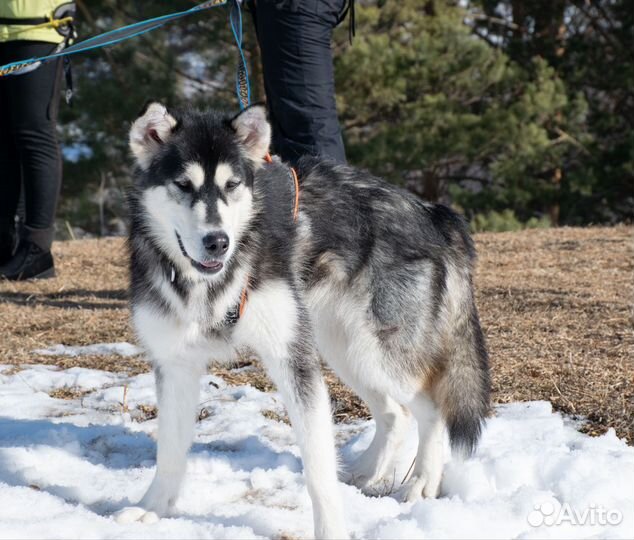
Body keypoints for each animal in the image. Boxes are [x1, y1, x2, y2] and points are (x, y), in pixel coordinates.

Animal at [113, 103, 488, 536]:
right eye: (183, 185)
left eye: (232, 184)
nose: (218, 241)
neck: (210, 284)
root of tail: (436, 214)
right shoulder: (175, 365)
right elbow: (170, 452)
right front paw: (152, 509)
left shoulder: (293, 359)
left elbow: (318, 470)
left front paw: (331, 529)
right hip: (346, 349)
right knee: (397, 412)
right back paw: (364, 470)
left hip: (378, 352)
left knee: (431, 407)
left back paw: (424, 480)